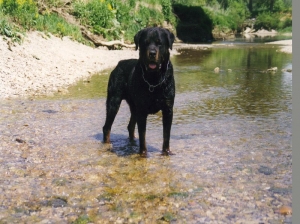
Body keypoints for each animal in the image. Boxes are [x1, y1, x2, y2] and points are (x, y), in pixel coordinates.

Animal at [102, 26, 175, 156]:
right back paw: (107, 144)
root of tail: (119, 64)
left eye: (159, 43)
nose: (152, 53)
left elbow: (166, 135)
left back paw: (132, 142)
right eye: (145, 43)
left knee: (130, 126)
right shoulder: (142, 110)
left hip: (134, 106)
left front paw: (166, 152)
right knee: (107, 127)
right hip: (113, 101)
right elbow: (143, 134)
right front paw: (143, 153)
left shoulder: (168, 109)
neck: (154, 79)